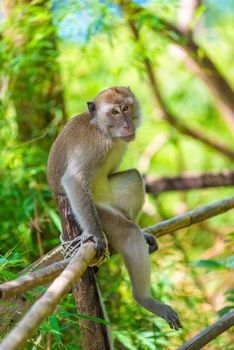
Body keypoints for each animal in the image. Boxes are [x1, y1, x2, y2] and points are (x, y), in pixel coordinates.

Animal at [47, 86, 182, 330]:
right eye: (115, 112)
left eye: (126, 107)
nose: (127, 125)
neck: (106, 132)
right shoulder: (95, 146)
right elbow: (74, 181)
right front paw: (95, 235)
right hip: (98, 213)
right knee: (127, 232)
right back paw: (144, 299)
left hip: (109, 199)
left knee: (134, 178)